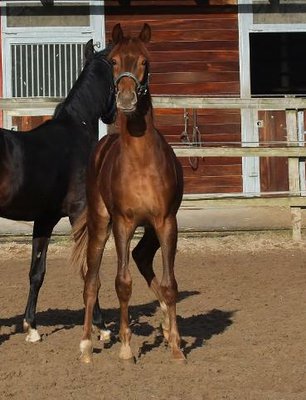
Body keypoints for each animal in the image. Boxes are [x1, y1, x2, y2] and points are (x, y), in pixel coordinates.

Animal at [0, 40, 116, 342]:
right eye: (115, 75)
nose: (113, 113)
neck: (76, 130)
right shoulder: (80, 213)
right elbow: (89, 267)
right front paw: (101, 328)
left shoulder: (45, 219)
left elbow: (37, 272)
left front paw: (31, 327)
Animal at [73, 24, 185, 362]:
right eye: (114, 61)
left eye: (145, 61)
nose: (125, 98)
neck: (140, 163)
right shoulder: (123, 223)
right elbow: (121, 283)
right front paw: (125, 348)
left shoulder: (166, 222)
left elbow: (170, 284)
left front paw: (176, 346)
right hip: (100, 224)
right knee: (91, 280)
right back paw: (86, 346)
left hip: (149, 229)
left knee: (142, 257)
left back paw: (166, 325)